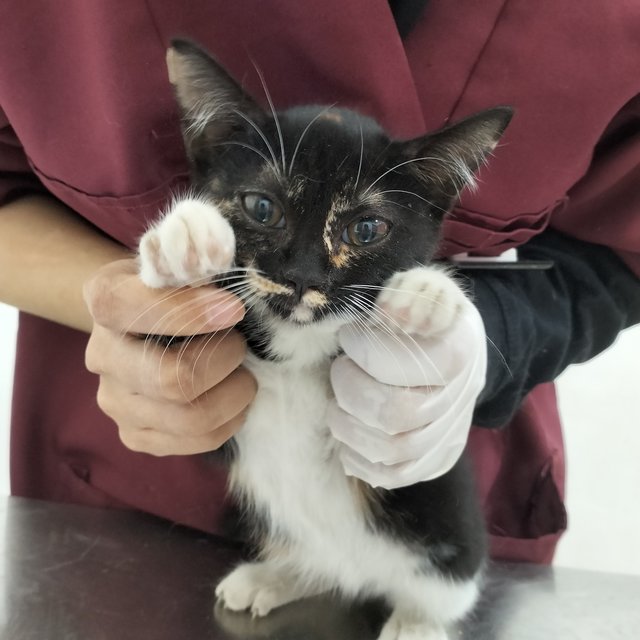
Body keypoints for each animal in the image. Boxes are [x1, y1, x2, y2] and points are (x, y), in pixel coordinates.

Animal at [138, 40, 512, 640]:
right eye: (261, 208)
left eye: (366, 229)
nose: (302, 278)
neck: (300, 344)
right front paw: (186, 235)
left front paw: (429, 293)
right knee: (322, 567)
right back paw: (275, 576)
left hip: (447, 533)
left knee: (442, 590)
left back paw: (416, 624)